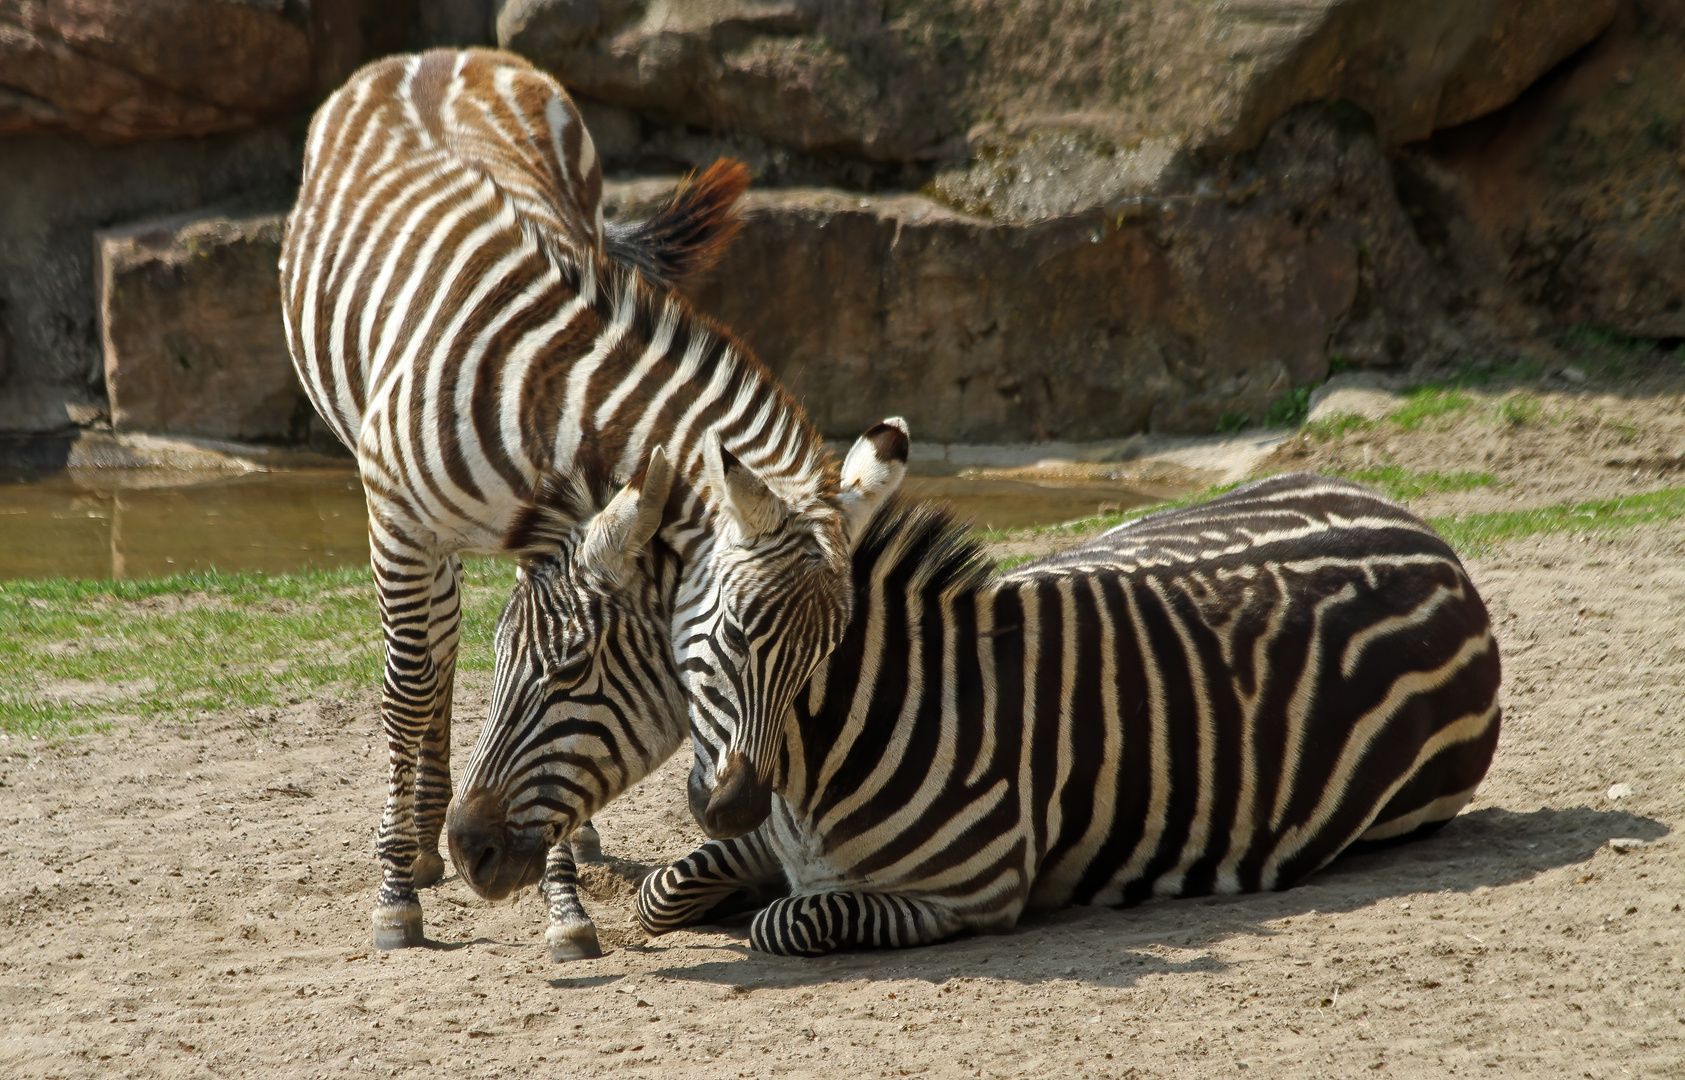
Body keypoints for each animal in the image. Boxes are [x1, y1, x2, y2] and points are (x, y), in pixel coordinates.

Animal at [283, 48, 903, 950]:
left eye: (821, 656)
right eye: (734, 634)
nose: (739, 810)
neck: (542, 394)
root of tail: (432, 55)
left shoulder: (555, 541)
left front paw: (563, 900)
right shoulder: (396, 521)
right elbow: (412, 691)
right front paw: (396, 894)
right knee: (429, 658)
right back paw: (419, 848)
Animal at [444, 468, 1503, 957]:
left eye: (571, 668)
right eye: (492, 664)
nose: (462, 847)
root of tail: (1426, 535)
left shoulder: (972, 895)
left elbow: (789, 921)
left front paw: (752, 909)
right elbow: (667, 890)